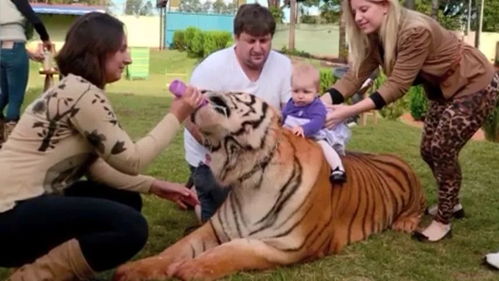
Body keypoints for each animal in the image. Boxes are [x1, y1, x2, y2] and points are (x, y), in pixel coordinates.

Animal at [113, 90, 426, 280]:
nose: (201, 90)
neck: (248, 172)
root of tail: (394, 156)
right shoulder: (215, 228)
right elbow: (174, 249)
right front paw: (134, 269)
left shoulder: (288, 245)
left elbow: (233, 251)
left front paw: (189, 269)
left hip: (414, 193)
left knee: (418, 209)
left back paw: (406, 223)